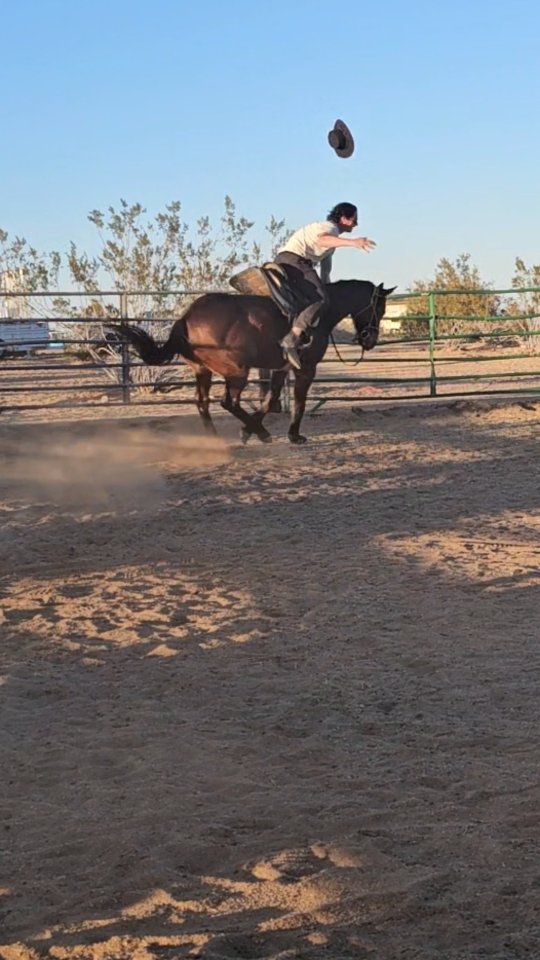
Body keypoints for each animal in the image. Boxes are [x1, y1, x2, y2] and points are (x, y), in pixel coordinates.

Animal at [112, 278, 396, 444]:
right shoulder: (306, 369)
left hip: (203, 371)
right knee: (228, 402)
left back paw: (219, 438)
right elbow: (299, 401)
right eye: (379, 308)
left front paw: (252, 430)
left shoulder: (281, 368)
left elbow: (271, 399)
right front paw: (293, 435)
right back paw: (261, 434)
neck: (321, 313)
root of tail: (186, 318)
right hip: (237, 372)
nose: (370, 339)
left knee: (203, 403)